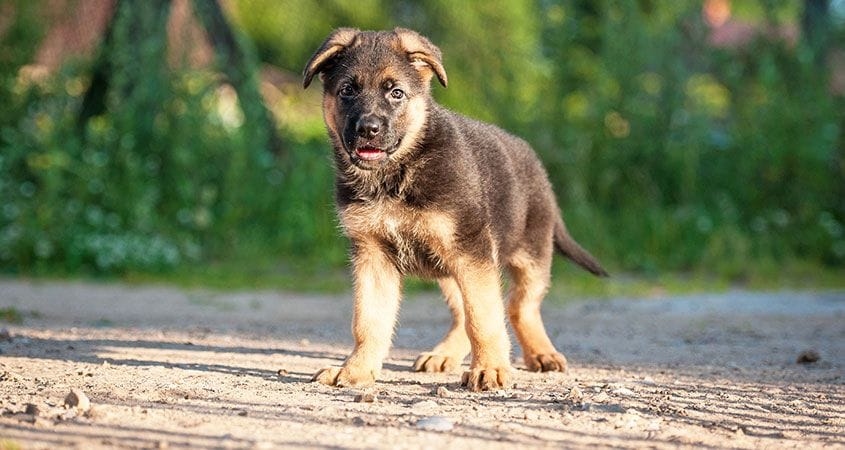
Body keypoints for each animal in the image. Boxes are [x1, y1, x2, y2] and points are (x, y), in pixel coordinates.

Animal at [300, 28, 604, 392]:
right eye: (347, 90)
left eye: (396, 93)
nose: (368, 129)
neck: (396, 175)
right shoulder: (372, 255)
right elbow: (369, 321)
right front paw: (356, 370)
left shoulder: (471, 250)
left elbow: (484, 317)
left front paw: (490, 369)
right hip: (449, 266)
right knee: (464, 312)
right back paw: (445, 354)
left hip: (529, 255)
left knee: (518, 306)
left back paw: (541, 353)